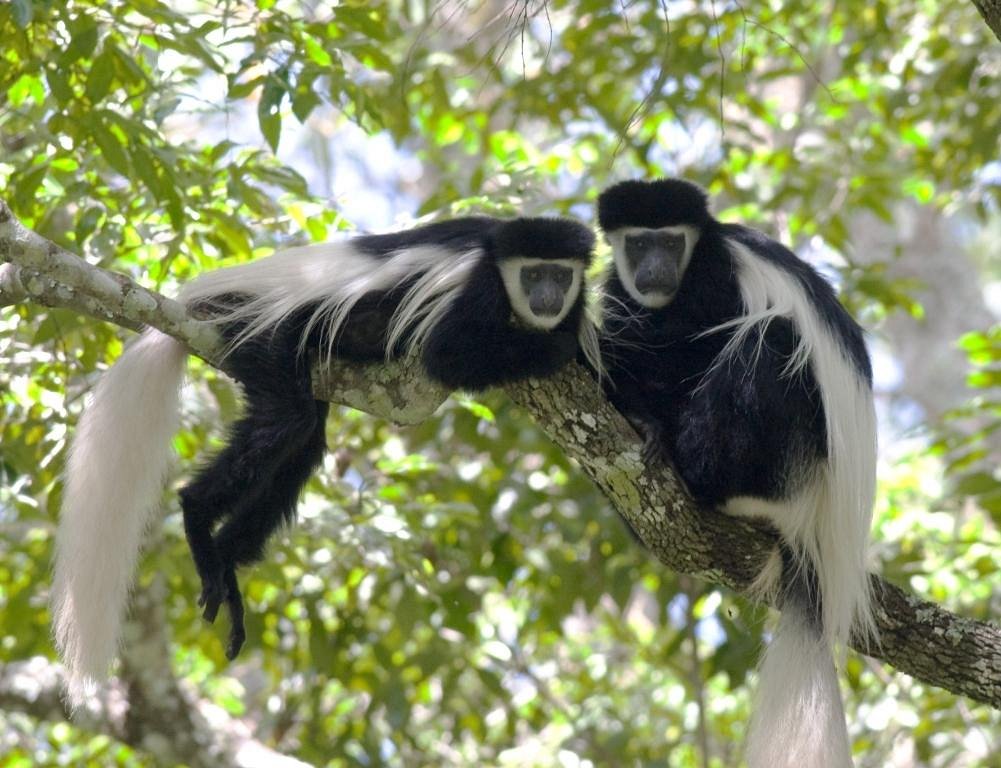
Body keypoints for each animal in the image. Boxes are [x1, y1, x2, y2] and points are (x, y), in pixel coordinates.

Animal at [50, 213, 596, 704]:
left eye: (560, 275)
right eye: (533, 275)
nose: (547, 298)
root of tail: (198, 298)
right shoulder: (475, 290)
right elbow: (448, 355)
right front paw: (551, 347)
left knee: (303, 439)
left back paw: (226, 566)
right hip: (258, 332)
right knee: (285, 422)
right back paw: (197, 517)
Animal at [592, 178, 876, 768]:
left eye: (670, 242)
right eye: (638, 243)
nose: (654, 269)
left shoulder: (715, 278)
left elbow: (693, 346)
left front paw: (649, 419)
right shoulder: (621, 290)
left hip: (791, 463)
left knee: (770, 340)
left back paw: (692, 467)